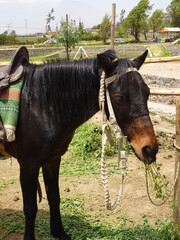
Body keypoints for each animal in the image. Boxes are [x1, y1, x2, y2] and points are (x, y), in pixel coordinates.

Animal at [2, 47, 158, 239]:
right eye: (120, 97)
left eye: (147, 92)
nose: (150, 149)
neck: (41, 106)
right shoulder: (28, 165)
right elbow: (30, 207)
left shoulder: (52, 161)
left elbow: (54, 197)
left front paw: (59, 232)